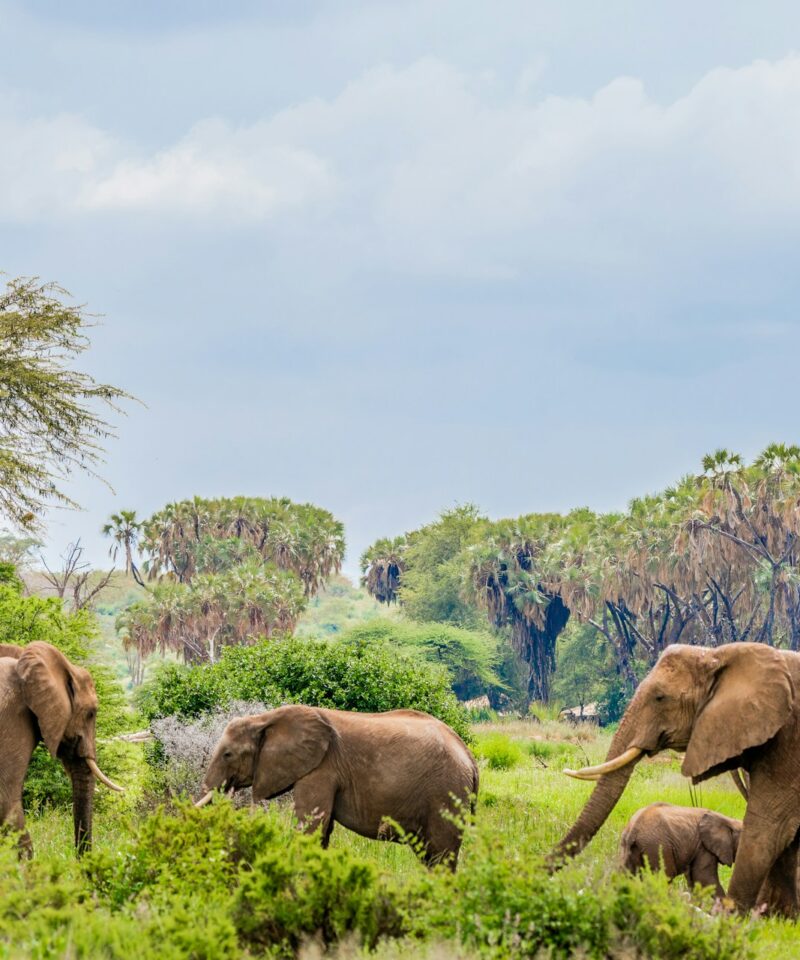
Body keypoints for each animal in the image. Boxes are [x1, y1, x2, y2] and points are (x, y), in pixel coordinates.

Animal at [196, 700, 478, 868]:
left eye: (228, 754)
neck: (265, 718)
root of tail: (470, 759)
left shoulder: (321, 769)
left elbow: (312, 826)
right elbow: (322, 830)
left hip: (445, 793)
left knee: (441, 855)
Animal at [552, 640, 800, 920]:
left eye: (660, 698)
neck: (717, 654)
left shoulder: (787, 743)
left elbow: (769, 828)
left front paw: (736, 919)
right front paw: (770, 919)